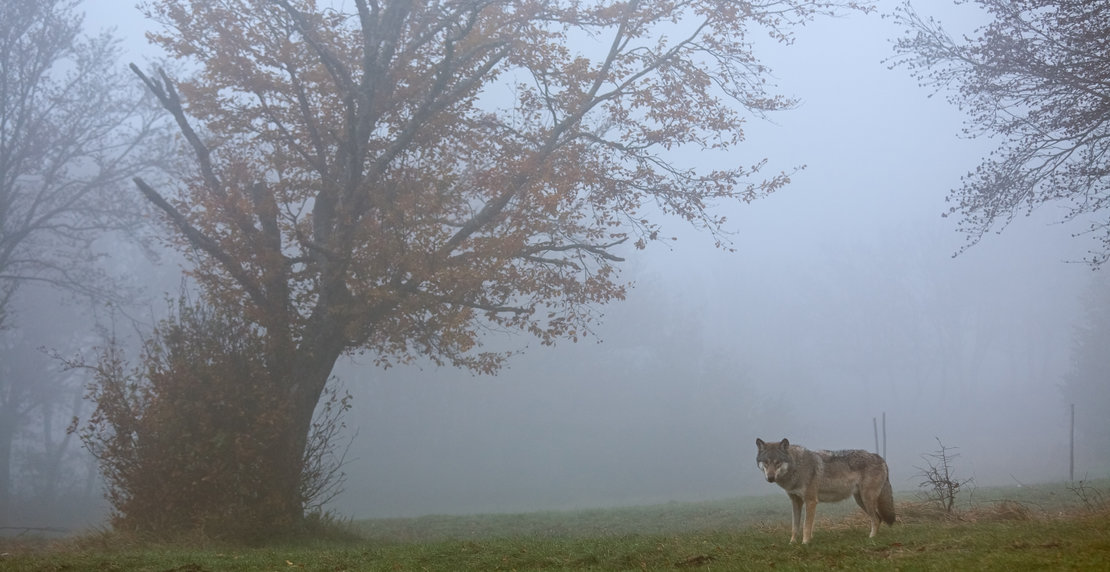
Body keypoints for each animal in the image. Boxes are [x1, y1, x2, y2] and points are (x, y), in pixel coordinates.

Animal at [754, 442, 892, 544]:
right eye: (766, 462)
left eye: (777, 462)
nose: (770, 478)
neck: (797, 467)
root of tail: (879, 457)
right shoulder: (796, 502)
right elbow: (795, 526)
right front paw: (792, 543)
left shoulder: (811, 501)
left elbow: (806, 526)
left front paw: (805, 543)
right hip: (860, 501)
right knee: (878, 518)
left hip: (866, 499)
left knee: (876, 519)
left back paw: (871, 539)